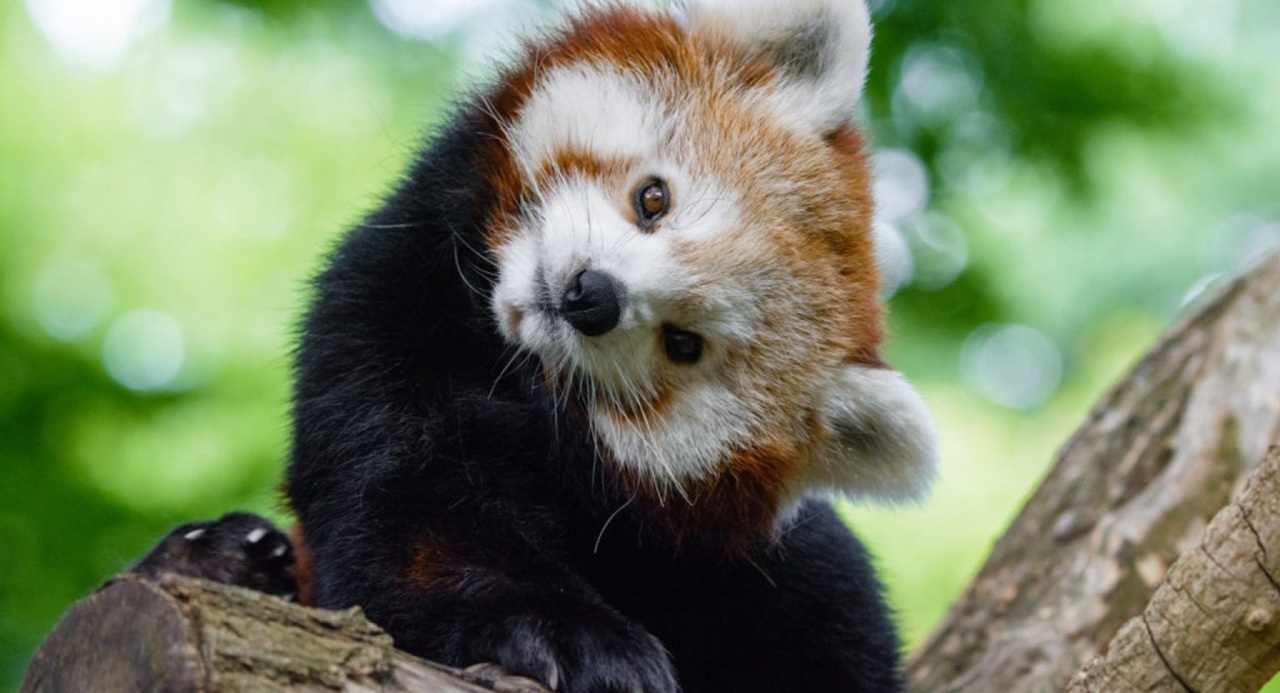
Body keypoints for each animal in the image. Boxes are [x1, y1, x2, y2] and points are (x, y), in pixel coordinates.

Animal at [134, 1, 938, 691]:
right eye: (654, 198)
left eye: (684, 343)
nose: (590, 296)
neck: (506, 370)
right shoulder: (383, 319)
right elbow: (410, 517)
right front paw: (574, 637)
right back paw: (219, 554)